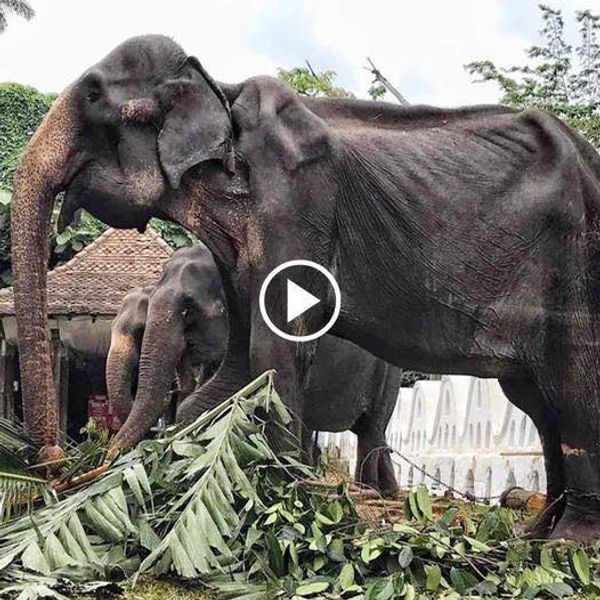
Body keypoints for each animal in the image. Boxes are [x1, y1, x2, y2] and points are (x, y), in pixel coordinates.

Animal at [10, 32, 600, 540]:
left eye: (92, 93)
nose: (61, 467)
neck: (218, 89)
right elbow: (241, 365)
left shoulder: (295, 208)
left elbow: (273, 350)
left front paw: (283, 505)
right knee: (539, 404)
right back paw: (532, 534)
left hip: (574, 267)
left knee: (572, 388)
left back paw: (568, 543)